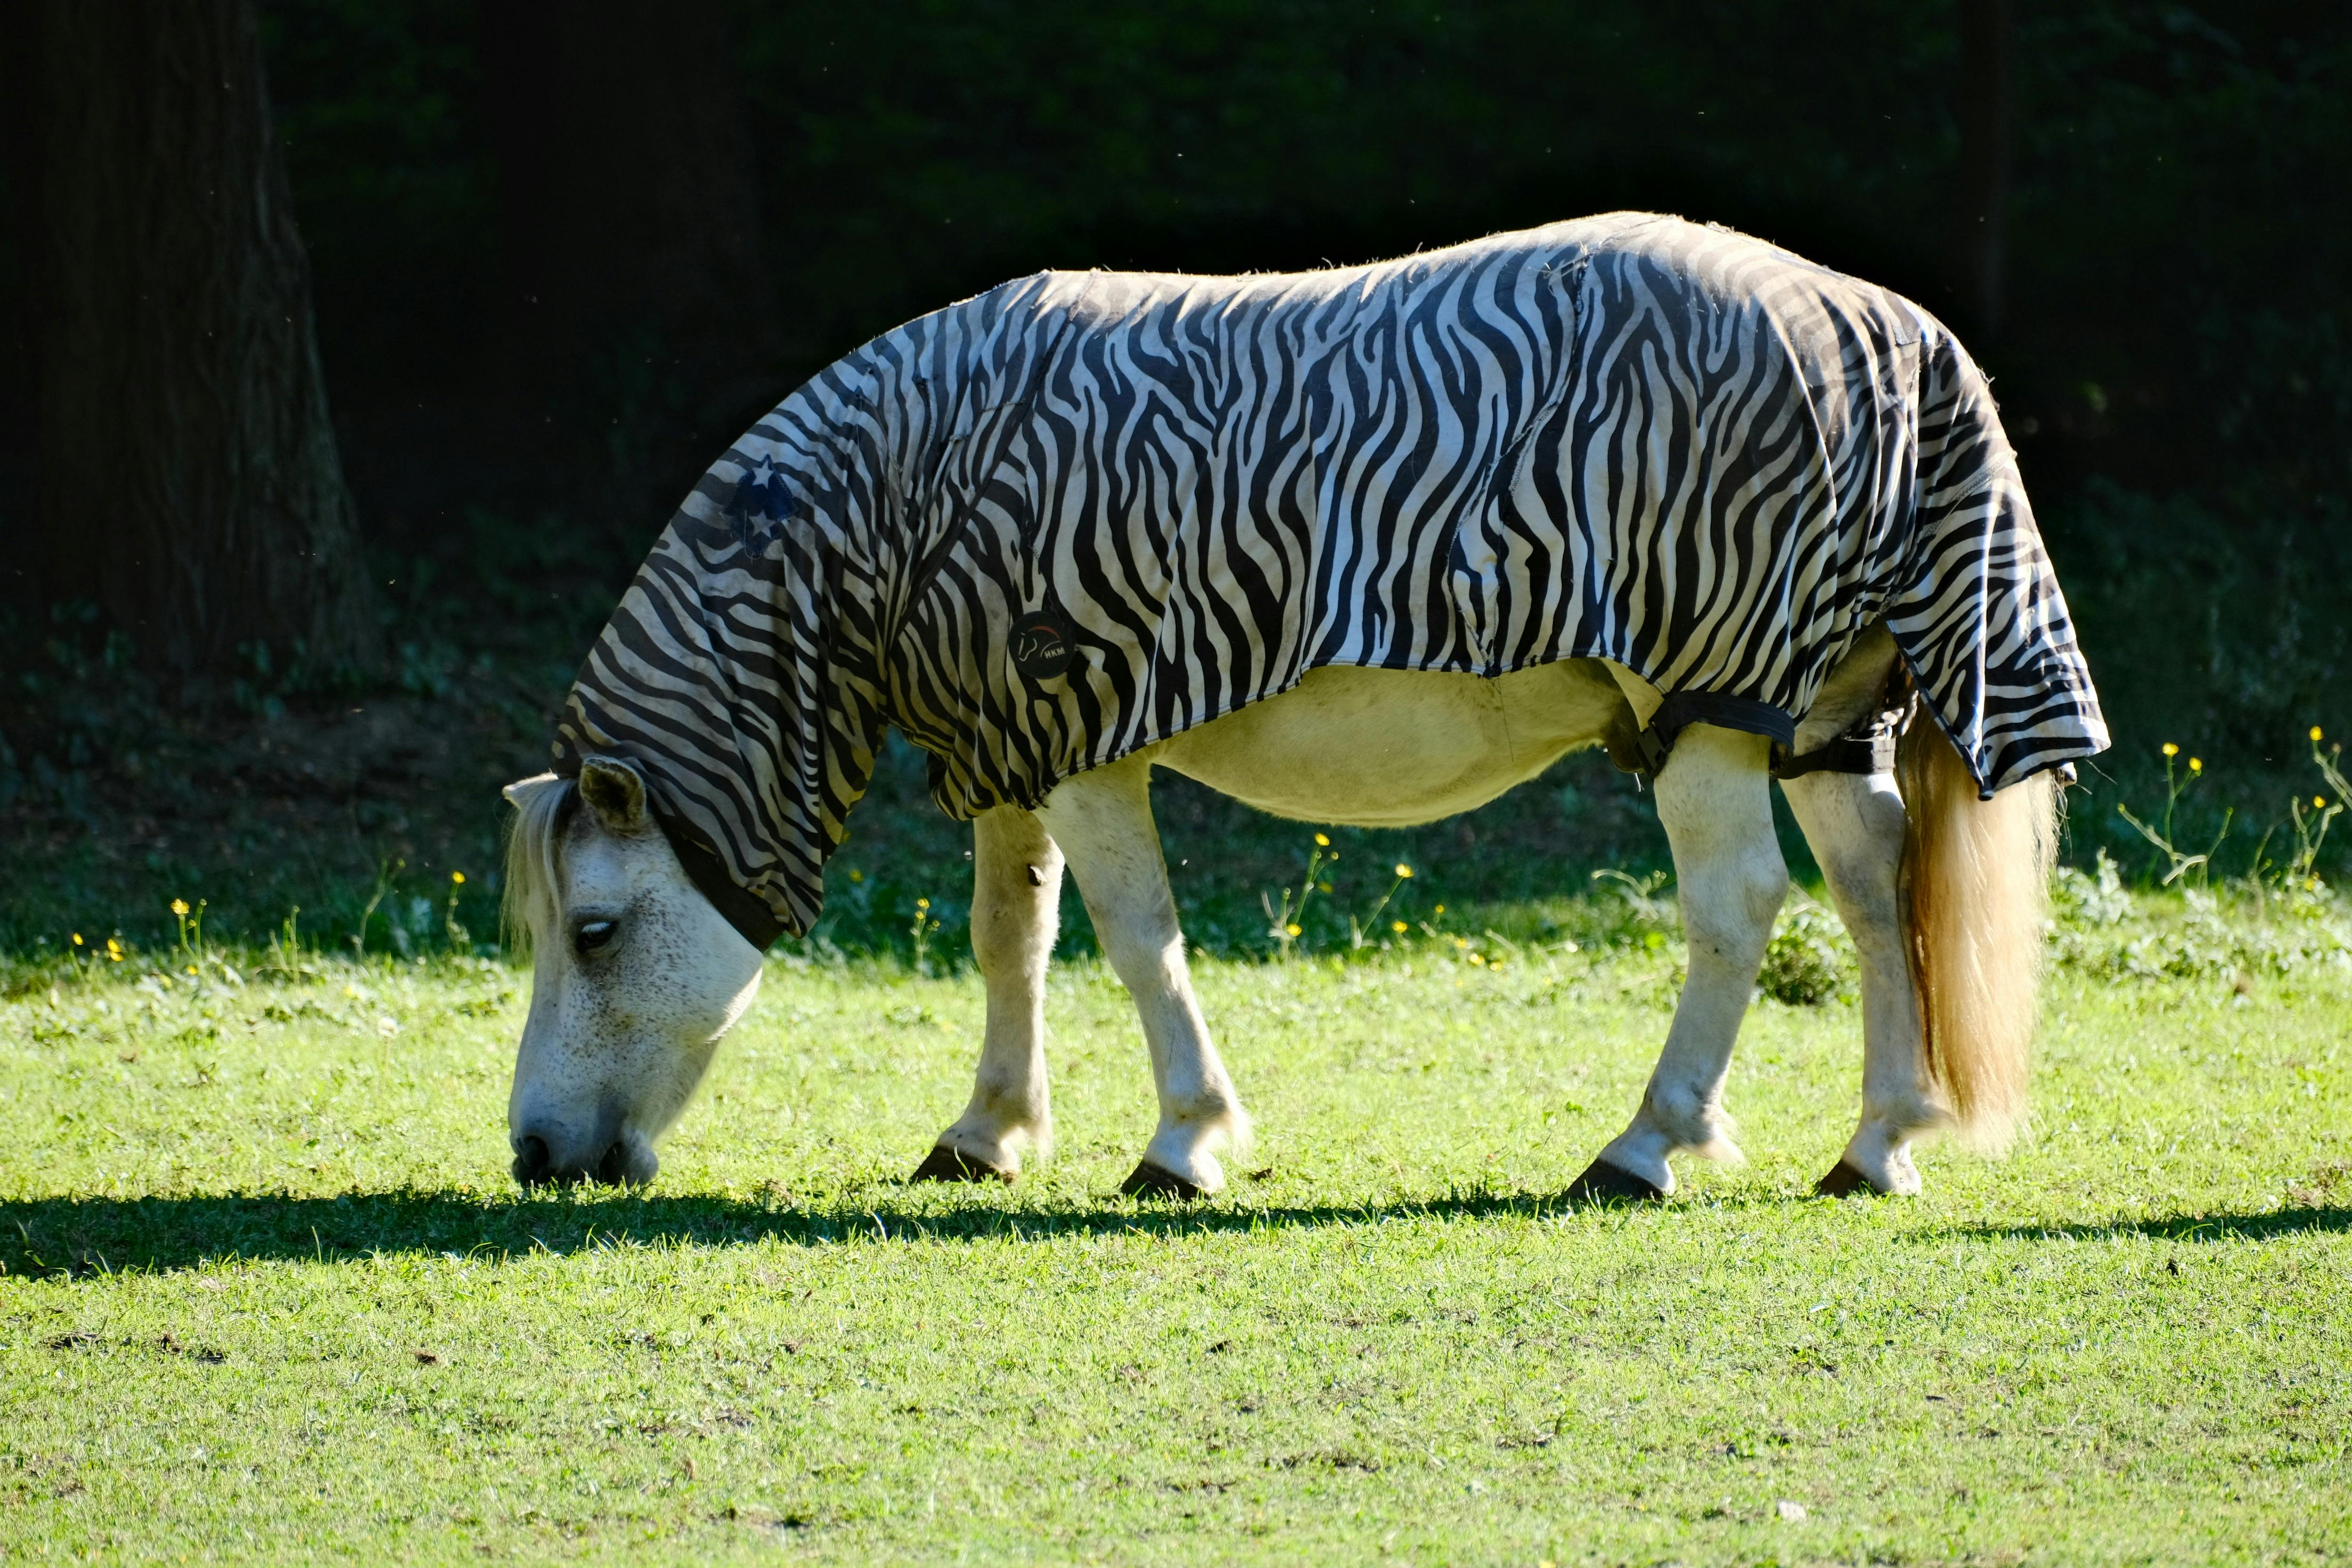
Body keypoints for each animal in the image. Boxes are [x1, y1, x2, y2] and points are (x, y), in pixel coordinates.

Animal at [500, 211, 2106, 1201]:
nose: (531, 1158)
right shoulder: (1008, 745)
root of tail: (1894, 327)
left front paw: (1182, 1145)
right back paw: (1876, 1146)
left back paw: (1644, 1148)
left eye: (596, 934)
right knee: (1874, 890)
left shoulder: (1086, 737)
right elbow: (1008, 940)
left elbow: (1136, 941)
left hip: (1706, 707)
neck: (896, 508)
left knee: (1739, 909)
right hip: (1818, 716)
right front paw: (988, 1131)